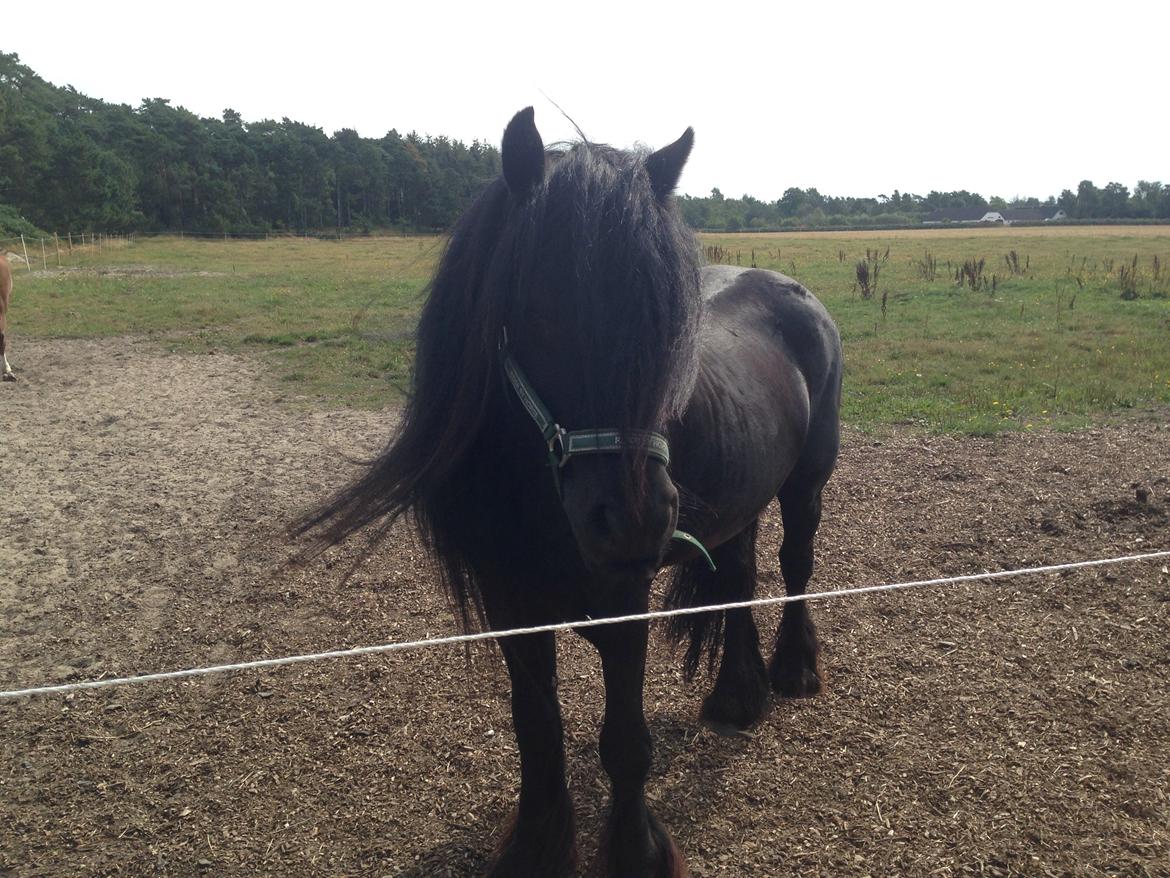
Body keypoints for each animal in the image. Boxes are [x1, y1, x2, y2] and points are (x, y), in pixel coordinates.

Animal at [295, 108, 842, 877]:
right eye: (542, 308)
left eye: (667, 324)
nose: (636, 520)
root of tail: (796, 293)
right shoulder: (510, 603)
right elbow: (537, 730)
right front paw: (537, 846)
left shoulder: (623, 598)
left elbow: (625, 743)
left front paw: (636, 854)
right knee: (739, 578)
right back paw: (738, 695)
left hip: (805, 483)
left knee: (796, 566)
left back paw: (792, 670)